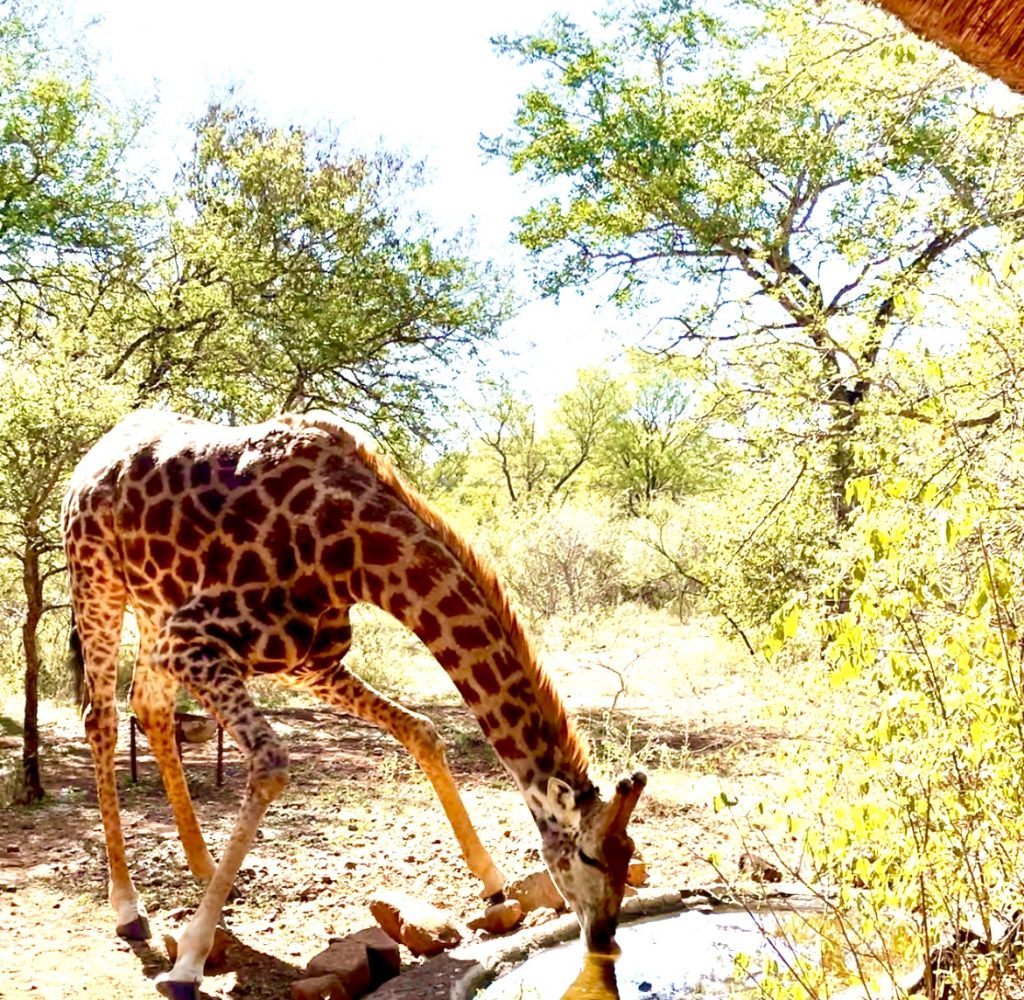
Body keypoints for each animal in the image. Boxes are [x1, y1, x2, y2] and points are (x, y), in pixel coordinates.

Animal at [62, 409, 645, 999]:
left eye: (630, 855)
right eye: (589, 855)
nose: (604, 938)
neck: (356, 551)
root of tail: (96, 454)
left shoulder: (307, 663)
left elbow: (420, 729)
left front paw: (491, 879)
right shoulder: (192, 639)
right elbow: (271, 763)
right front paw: (188, 962)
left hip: (154, 606)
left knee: (149, 707)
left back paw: (204, 866)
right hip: (99, 580)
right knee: (102, 717)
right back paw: (128, 908)